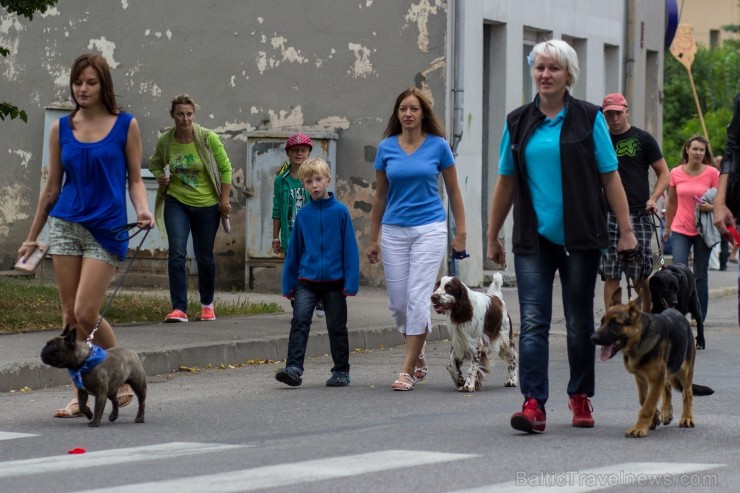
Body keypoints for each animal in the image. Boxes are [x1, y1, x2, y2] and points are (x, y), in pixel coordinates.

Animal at [588, 288, 712, 438]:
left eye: (615, 323)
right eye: (602, 322)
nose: (592, 338)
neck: (640, 338)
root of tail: (677, 312)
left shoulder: (656, 378)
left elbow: (648, 405)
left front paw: (639, 428)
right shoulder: (641, 379)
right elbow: (644, 400)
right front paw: (655, 418)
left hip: (685, 371)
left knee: (687, 393)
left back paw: (687, 417)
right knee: (667, 387)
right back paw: (666, 412)